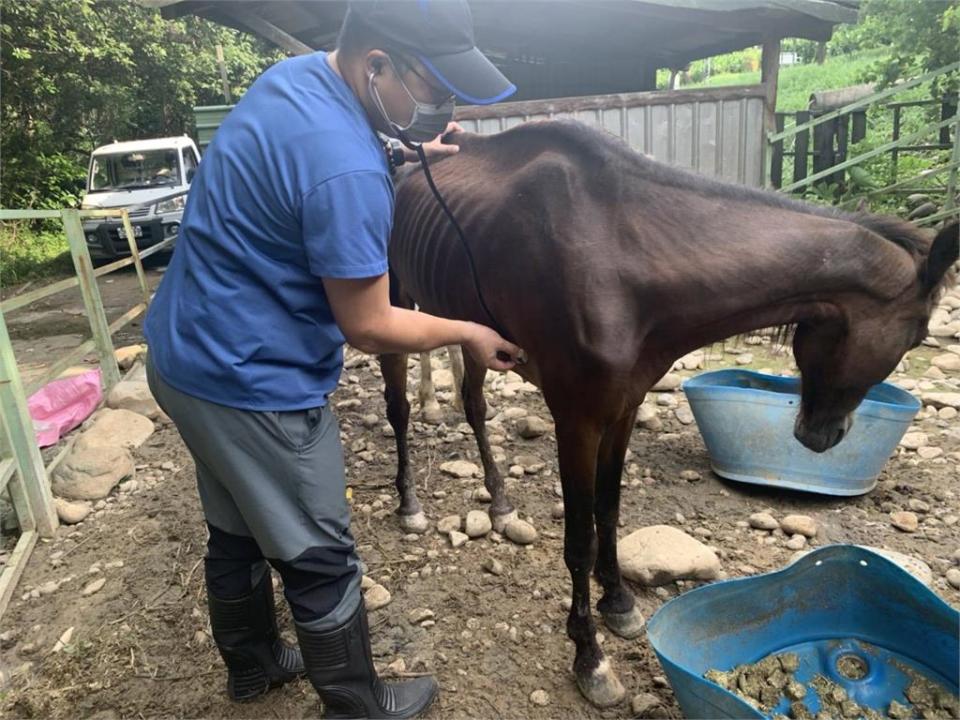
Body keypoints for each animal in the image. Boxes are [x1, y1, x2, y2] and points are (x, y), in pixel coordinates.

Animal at [378, 121, 956, 704]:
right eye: (918, 335)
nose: (823, 435)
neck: (623, 257)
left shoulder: (623, 411)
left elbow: (608, 512)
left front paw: (619, 604)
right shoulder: (577, 421)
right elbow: (580, 541)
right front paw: (590, 657)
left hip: (469, 330)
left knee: (474, 406)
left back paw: (498, 503)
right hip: (398, 306)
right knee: (399, 409)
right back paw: (409, 503)